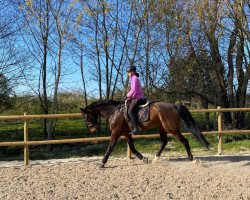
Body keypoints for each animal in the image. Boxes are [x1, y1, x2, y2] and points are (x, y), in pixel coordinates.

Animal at [80, 99, 209, 167]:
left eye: (87, 117)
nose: (93, 129)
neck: (114, 112)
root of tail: (174, 105)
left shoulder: (116, 133)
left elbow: (110, 147)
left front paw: (102, 163)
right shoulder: (126, 133)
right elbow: (132, 148)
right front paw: (143, 158)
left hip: (171, 129)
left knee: (184, 141)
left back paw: (192, 159)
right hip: (162, 128)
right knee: (164, 142)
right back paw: (155, 158)